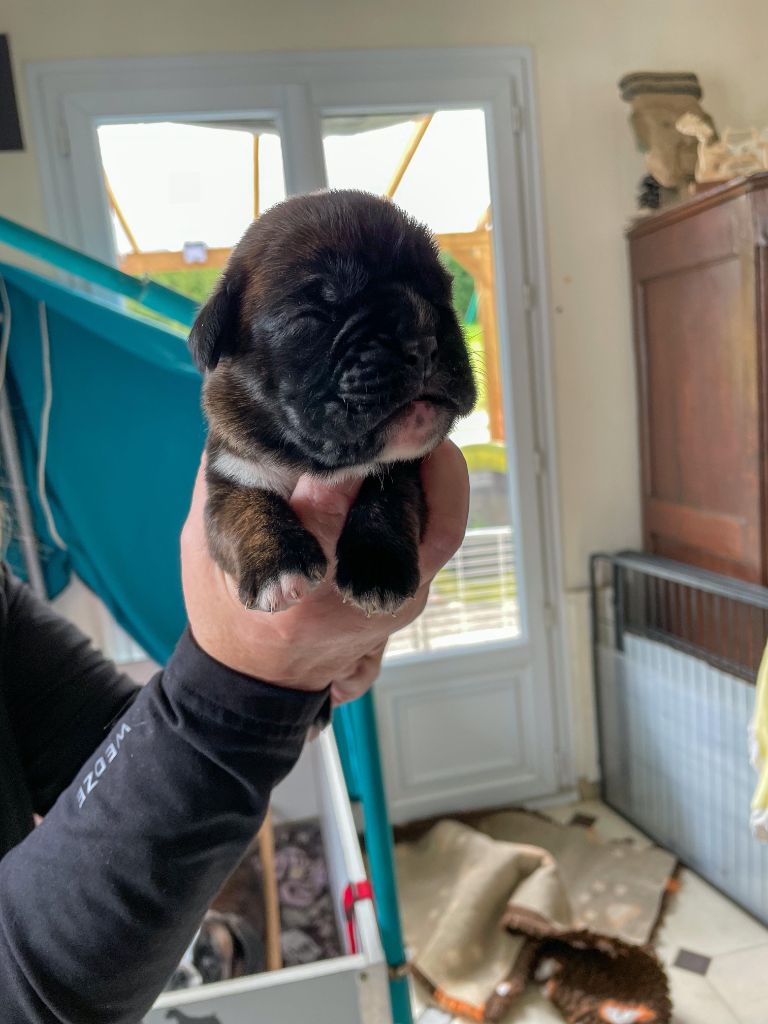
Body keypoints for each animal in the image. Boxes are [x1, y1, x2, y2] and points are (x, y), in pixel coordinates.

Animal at [189, 190, 476, 615]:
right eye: (314, 316)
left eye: (442, 293)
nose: (423, 337)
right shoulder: (229, 473)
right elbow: (244, 507)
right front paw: (278, 567)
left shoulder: (408, 466)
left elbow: (389, 496)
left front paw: (377, 569)